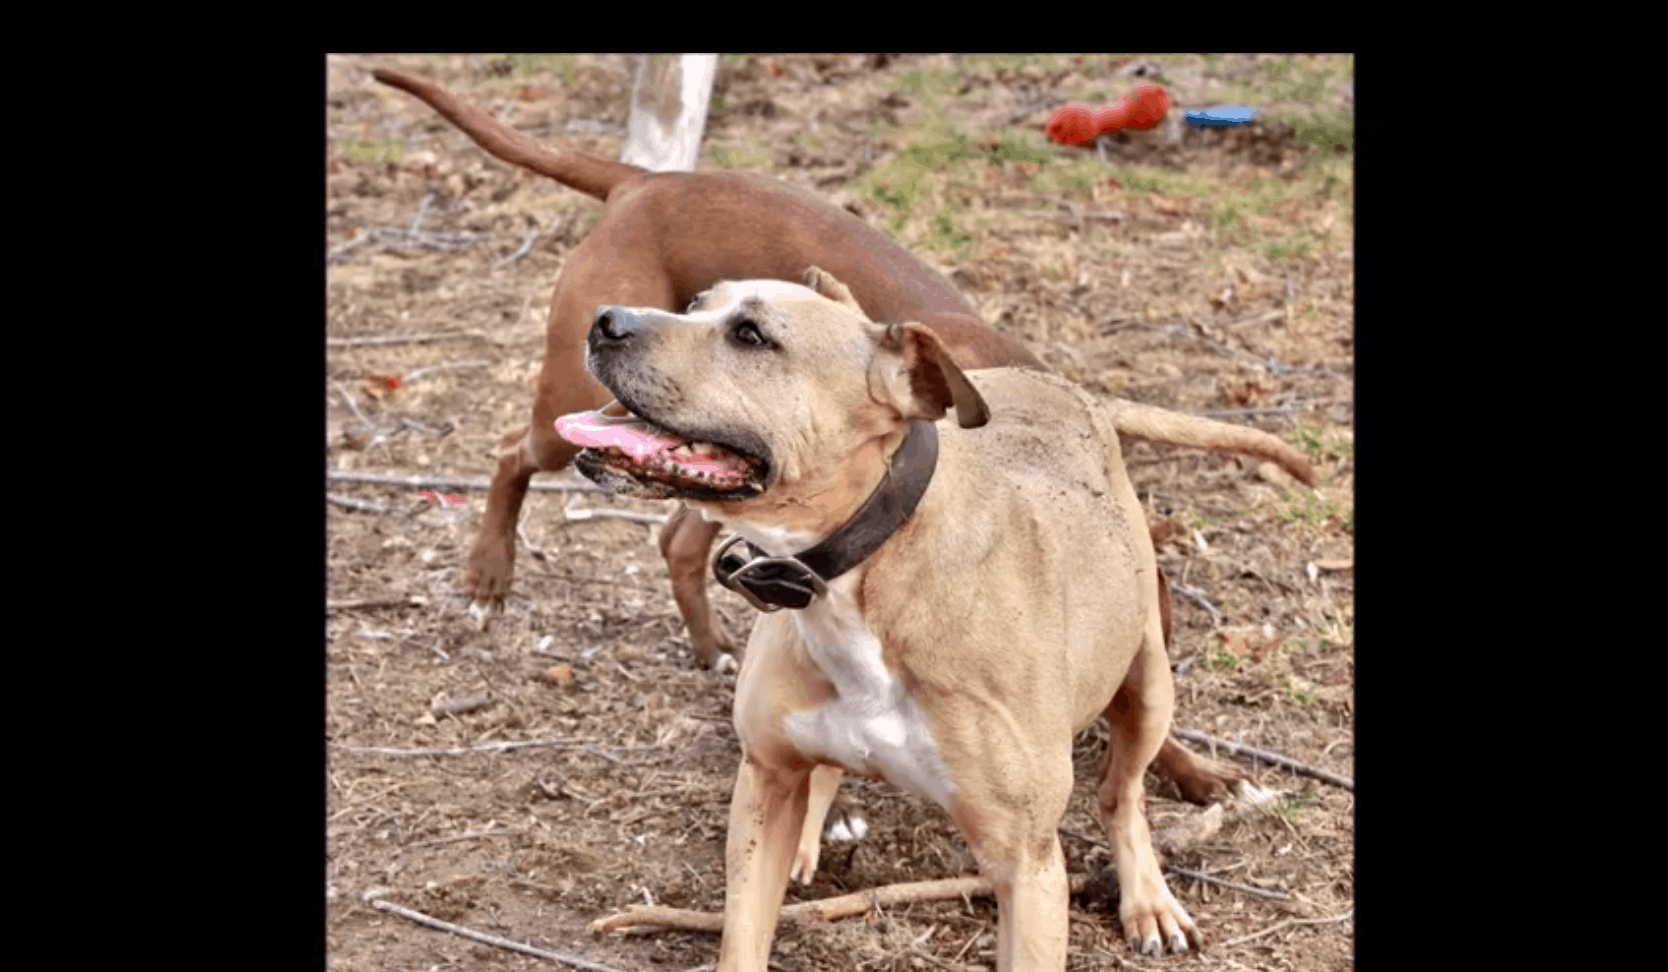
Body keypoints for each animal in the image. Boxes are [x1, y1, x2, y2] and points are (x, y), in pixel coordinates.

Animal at [369, 68, 1317, 675]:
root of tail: (642, 182)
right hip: (574, 402)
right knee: (512, 454)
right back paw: (489, 579)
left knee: (676, 538)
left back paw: (707, 647)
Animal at [559, 268, 1301, 969]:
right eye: (694, 304)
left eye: (751, 336)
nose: (605, 320)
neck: (859, 578)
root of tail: (1062, 384)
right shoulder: (764, 787)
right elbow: (743, 937)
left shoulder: (1027, 868)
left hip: (1147, 682)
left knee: (1123, 794)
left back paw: (1148, 898)